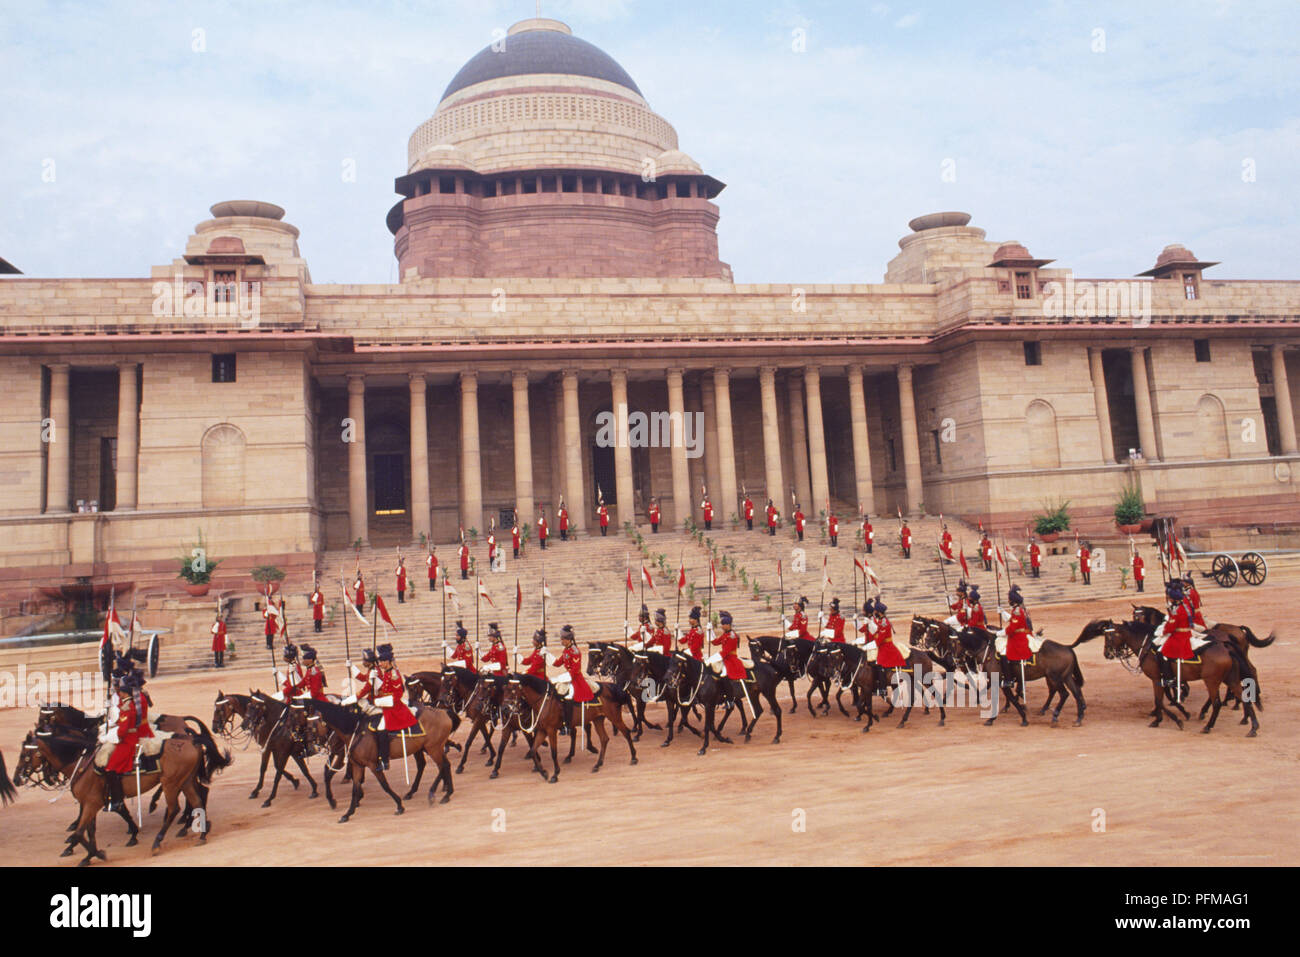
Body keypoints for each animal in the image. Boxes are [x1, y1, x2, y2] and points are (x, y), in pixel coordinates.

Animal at [301, 696, 454, 821]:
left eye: (311, 726)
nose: (310, 748)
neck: (356, 730)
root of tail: (443, 713)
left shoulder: (373, 765)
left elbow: (384, 785)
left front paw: (399, 806)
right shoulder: (357, 765)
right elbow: (354, 788)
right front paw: (348, 813)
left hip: (433, 748)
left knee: (443, 766)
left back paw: (434, 793)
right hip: (429, 749)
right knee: (441, 766)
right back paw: (444, 793)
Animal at [1097, 616, 1258, 738]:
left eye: (1108, 636)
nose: (1106, 653)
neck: (1149, 645)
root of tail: (1225, 646)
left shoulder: (1157, 679)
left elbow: (1159, 701)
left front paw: (1175, 720)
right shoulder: (1165, 679)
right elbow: (1165, 699)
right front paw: (1165, 717)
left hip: (1211, 681)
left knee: (1217, 703)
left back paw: (1208, 726)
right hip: (1230, 679)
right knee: (1244, 697)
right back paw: (1253, 727)